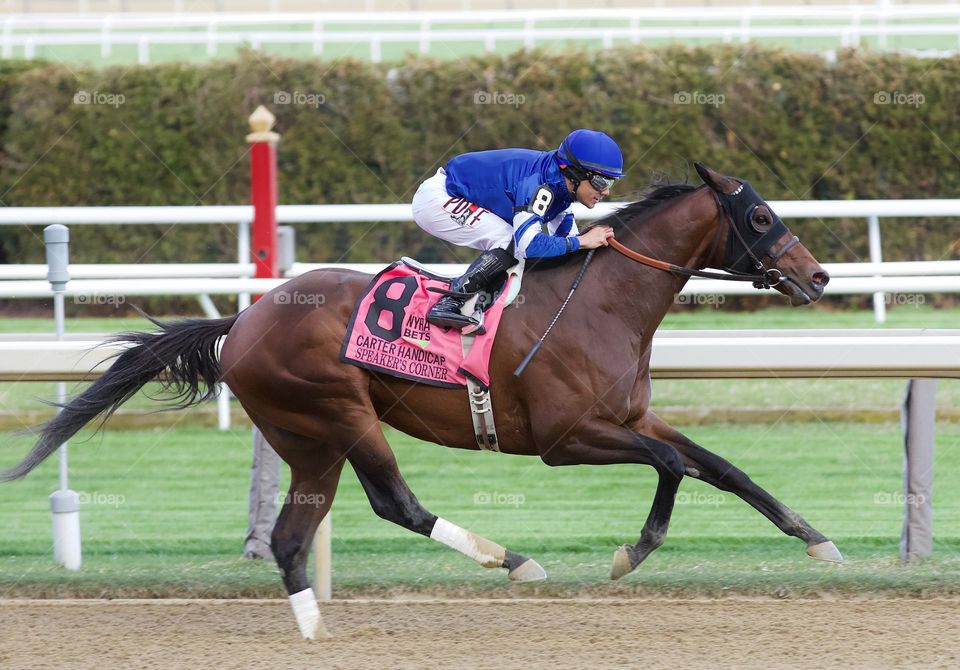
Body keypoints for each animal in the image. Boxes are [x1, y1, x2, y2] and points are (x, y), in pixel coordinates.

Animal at [1, 163, 840, 640]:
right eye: (760, 216)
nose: (819, 275)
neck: (603, 300)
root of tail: (241, 321)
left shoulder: (630, 417)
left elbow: (722, 468)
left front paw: (815, 538)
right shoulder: (566, 437)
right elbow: (670, 464)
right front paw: (631, 553)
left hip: (311, 439)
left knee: (293, 537)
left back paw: (315, 628)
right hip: (339, 414)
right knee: (392, 502)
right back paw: (510, 560)